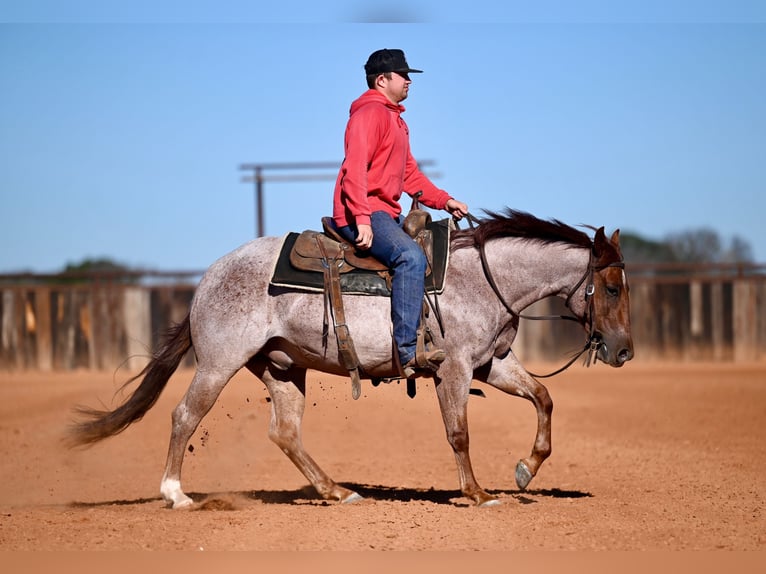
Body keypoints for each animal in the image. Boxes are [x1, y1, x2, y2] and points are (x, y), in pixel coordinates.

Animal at [68, 209, 633, 508]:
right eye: (609, 286)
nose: (624, 350)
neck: (482, 278)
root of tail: (206, 281)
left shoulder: (491, 363)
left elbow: (544, 397)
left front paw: (523, 470)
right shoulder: (453, 368)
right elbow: (459, 432)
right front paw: (475, 492)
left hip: (282, 368)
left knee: (285, 433)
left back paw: (336, 491)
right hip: (218, 364)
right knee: (186, 415)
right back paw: (176, 494)